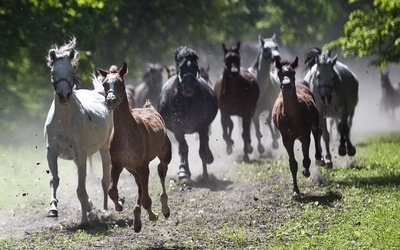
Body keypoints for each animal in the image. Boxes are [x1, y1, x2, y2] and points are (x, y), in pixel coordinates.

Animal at [44, 37, 112, 225]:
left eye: (71, 71)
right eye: (53, 73)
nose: (64, 95)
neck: (65, 121)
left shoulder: (81, 155)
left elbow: (81, 189)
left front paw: (85, 220)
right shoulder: (51, 152)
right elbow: (54, 180)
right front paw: (53, 209)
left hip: (104, 148)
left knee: (106, 178)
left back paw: (105, 210)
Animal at [99, 62, 171, 232]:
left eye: (120, 83)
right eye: (105, 84)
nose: (110, 100)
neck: (127, 133)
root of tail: (150, 107)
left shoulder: (143, 165)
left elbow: (145, 197)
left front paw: (153, 215)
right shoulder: (117, 164)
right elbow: (112, 191)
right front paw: (120, 204)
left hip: (165, 154)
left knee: (161, 170)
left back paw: (164, 208)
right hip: (131, 168)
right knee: (139, 186)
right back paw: (137, 219)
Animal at [157, 46, 219, 181]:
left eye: (195, 67)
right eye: (181, 67)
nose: (188, 87)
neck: (186, 101)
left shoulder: (202, 126)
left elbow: (202, 150)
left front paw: (205, 172)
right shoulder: (178, 128)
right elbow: (184, 148)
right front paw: (183, 172)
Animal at [272, 57, 324, 199]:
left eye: (292, 73)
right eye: (279, 73)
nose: (287, 85)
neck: (293, 117)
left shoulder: (304, 136)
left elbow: (306, 160)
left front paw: (306, 172)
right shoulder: (287, 139)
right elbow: (293, 164)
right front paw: (296, 191)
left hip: (315, 121)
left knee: (317, 132)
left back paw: (320, 159)